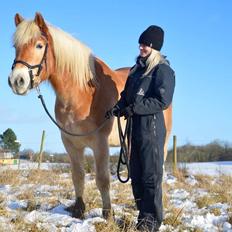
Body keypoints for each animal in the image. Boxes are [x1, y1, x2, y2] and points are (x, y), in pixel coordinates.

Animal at [8, 12, 172, 219]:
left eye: (39, 45)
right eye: (16, 46)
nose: (17, 81)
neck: (83, 93)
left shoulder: (100, 144)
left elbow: (102, 179)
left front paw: (108, 214)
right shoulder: (71, 143)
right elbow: (77, 176)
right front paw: (79, 209)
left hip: (161, 142)